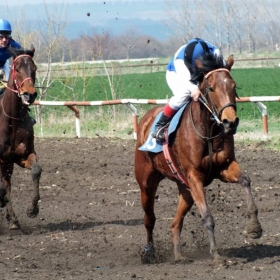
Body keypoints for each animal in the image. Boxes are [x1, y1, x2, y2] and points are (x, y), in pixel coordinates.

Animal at [135, 54, 264, 264]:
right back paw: (149, 252)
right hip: (146, 183)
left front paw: (254, 227)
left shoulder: (224, 167)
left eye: (234, 86)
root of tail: (146, 120)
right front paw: (216, 255)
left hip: (185, 189)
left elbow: (245, 179)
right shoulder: (195, 177)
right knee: (149, 219)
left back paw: (178, 255)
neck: (208, 130)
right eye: (211, 88)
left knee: (175, 223)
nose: (230, 122)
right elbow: (207, 217)